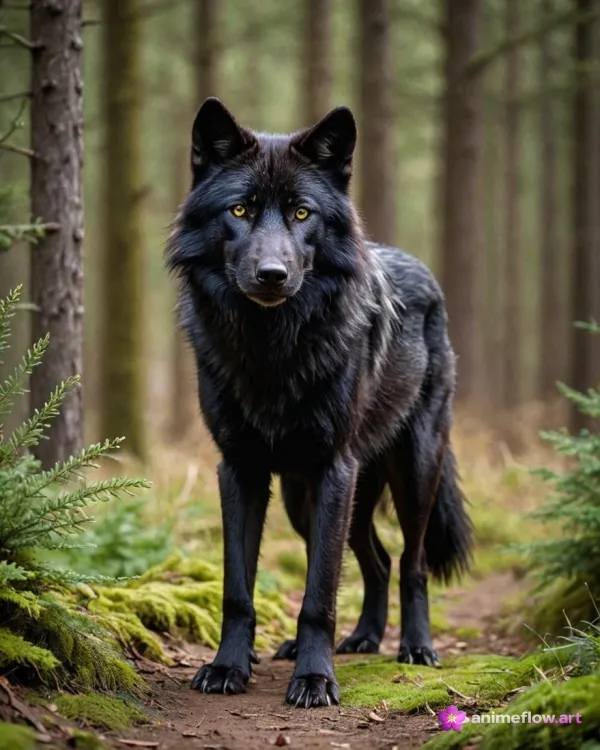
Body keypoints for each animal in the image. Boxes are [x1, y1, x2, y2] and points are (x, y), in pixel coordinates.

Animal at [166, 98, 473, 709]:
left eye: (303, 214)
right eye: (240, 209)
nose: (272, 274)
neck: (271, 348)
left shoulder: (334, 467)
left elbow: (320, 593)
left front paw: (314, 680)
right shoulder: (240, 469)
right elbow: (239, 588)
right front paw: (228, 667)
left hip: (409, 471)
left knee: (411, 563)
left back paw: (415, 648)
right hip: (303, 495)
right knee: (376, 561)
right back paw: (361, 639)